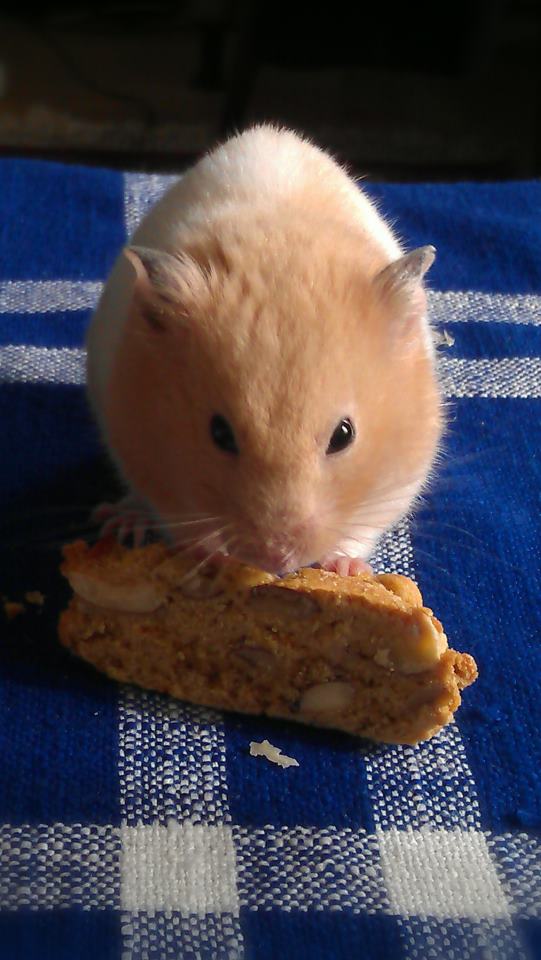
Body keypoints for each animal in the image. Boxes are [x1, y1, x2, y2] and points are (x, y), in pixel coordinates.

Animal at [86, 125, 443, 575]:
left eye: (344, 435)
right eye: (219, 433)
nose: (277, 559)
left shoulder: (399, 479)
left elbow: (359, 533)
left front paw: (346, 569)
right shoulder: (143, 451)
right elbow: (181, 521)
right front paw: (212, 556)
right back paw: (119, 521)